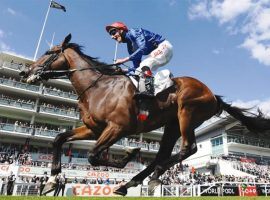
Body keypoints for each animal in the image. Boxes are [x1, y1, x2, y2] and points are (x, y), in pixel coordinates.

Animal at [20, 34, 270, 195]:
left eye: (49, 52)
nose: (25, 71)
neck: (98, 87)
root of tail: (213, 95)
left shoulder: (117, 128)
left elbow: (93, 155)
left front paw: (129, 155)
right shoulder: (94, 128)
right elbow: (58, 139)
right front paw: (52, 179)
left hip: (187, 113)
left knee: (187, 148)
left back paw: (151, 176)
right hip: (172, 124)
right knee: (163, 154)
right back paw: (131, 183)